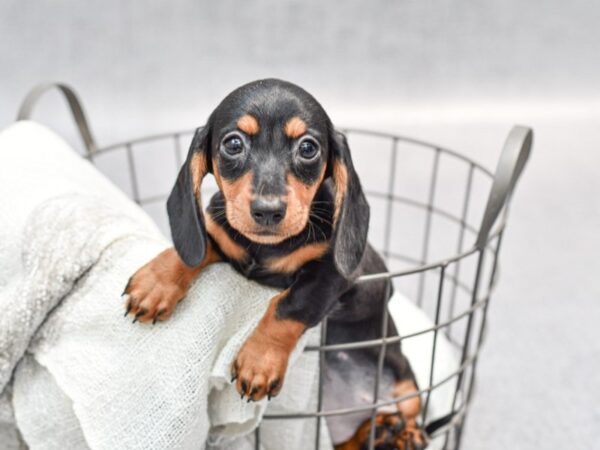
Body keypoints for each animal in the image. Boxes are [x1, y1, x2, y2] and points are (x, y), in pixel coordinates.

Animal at [124, 79, 426, 448]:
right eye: (233, 143)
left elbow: (289, 305)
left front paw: (259, 361)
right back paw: (379, 431)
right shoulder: (222, 236)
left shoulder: (332, 273)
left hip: (406, 384)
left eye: (308, 148)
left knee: (408, 411)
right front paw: (155, 284)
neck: (266, 248)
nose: (268, 211)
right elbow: (195, 245)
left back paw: (404, 433)